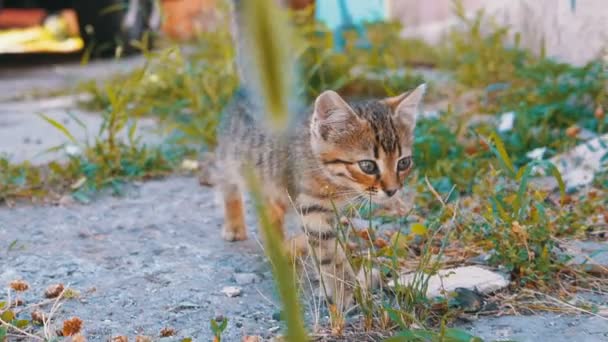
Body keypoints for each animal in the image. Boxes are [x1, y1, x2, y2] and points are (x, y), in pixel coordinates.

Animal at [207, 83, 426, 310]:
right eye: (368, 166)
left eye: (404, 163)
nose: (393, 190)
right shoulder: (313, 209)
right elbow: (330, 255)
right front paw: (343, 291)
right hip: (231, 160)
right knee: (227, 184)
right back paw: (235, 225)